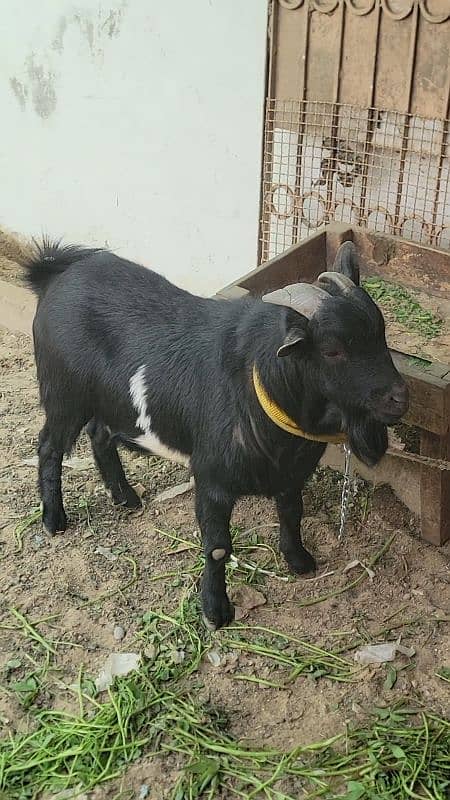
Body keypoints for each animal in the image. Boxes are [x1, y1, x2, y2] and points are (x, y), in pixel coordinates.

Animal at [24, 241, 408, 628]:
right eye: (332, 350)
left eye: (381, 334)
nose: (400, 398)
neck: (258, 385)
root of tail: (55, 273)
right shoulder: (212, 480)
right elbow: (218, 547)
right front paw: (216, 610)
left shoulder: (290, 475)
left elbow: (292, 514)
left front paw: (299, 560)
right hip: (64, 395)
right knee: (50, 447)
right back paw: (53, 520)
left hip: (108, 402)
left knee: (99, 434)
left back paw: (125, 497)